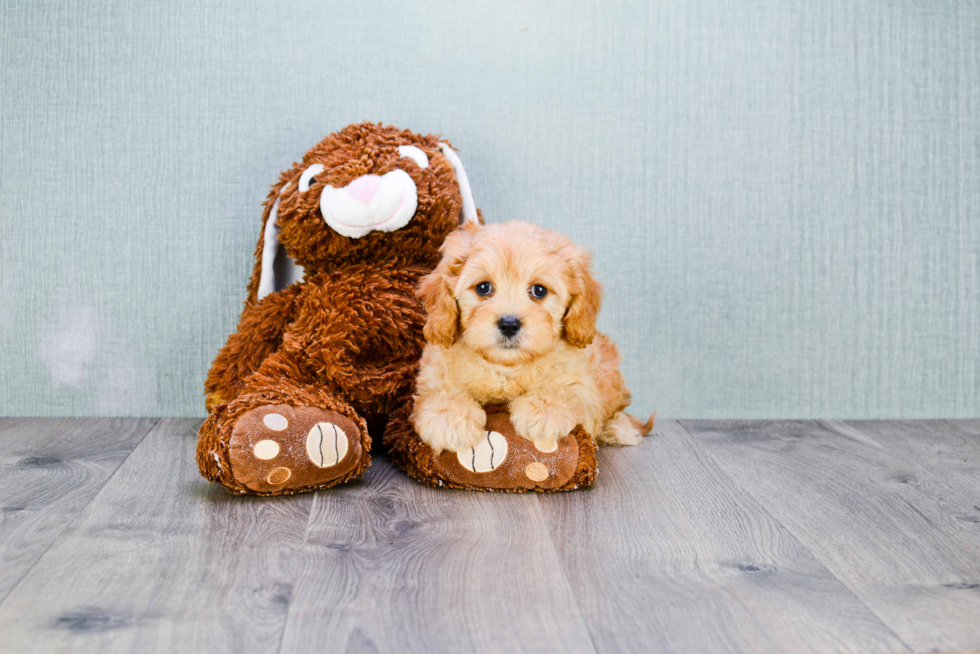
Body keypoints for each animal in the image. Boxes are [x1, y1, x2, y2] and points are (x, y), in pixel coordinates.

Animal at [410, 222, 656, 456]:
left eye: (539, 290)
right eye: (483, 287)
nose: (509, 324)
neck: (507, 366)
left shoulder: (582, 380)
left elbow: (566, 391)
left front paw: (544, 411)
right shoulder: (434, 372)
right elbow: (441, 392)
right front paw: (448, 419)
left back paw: (620, 430)